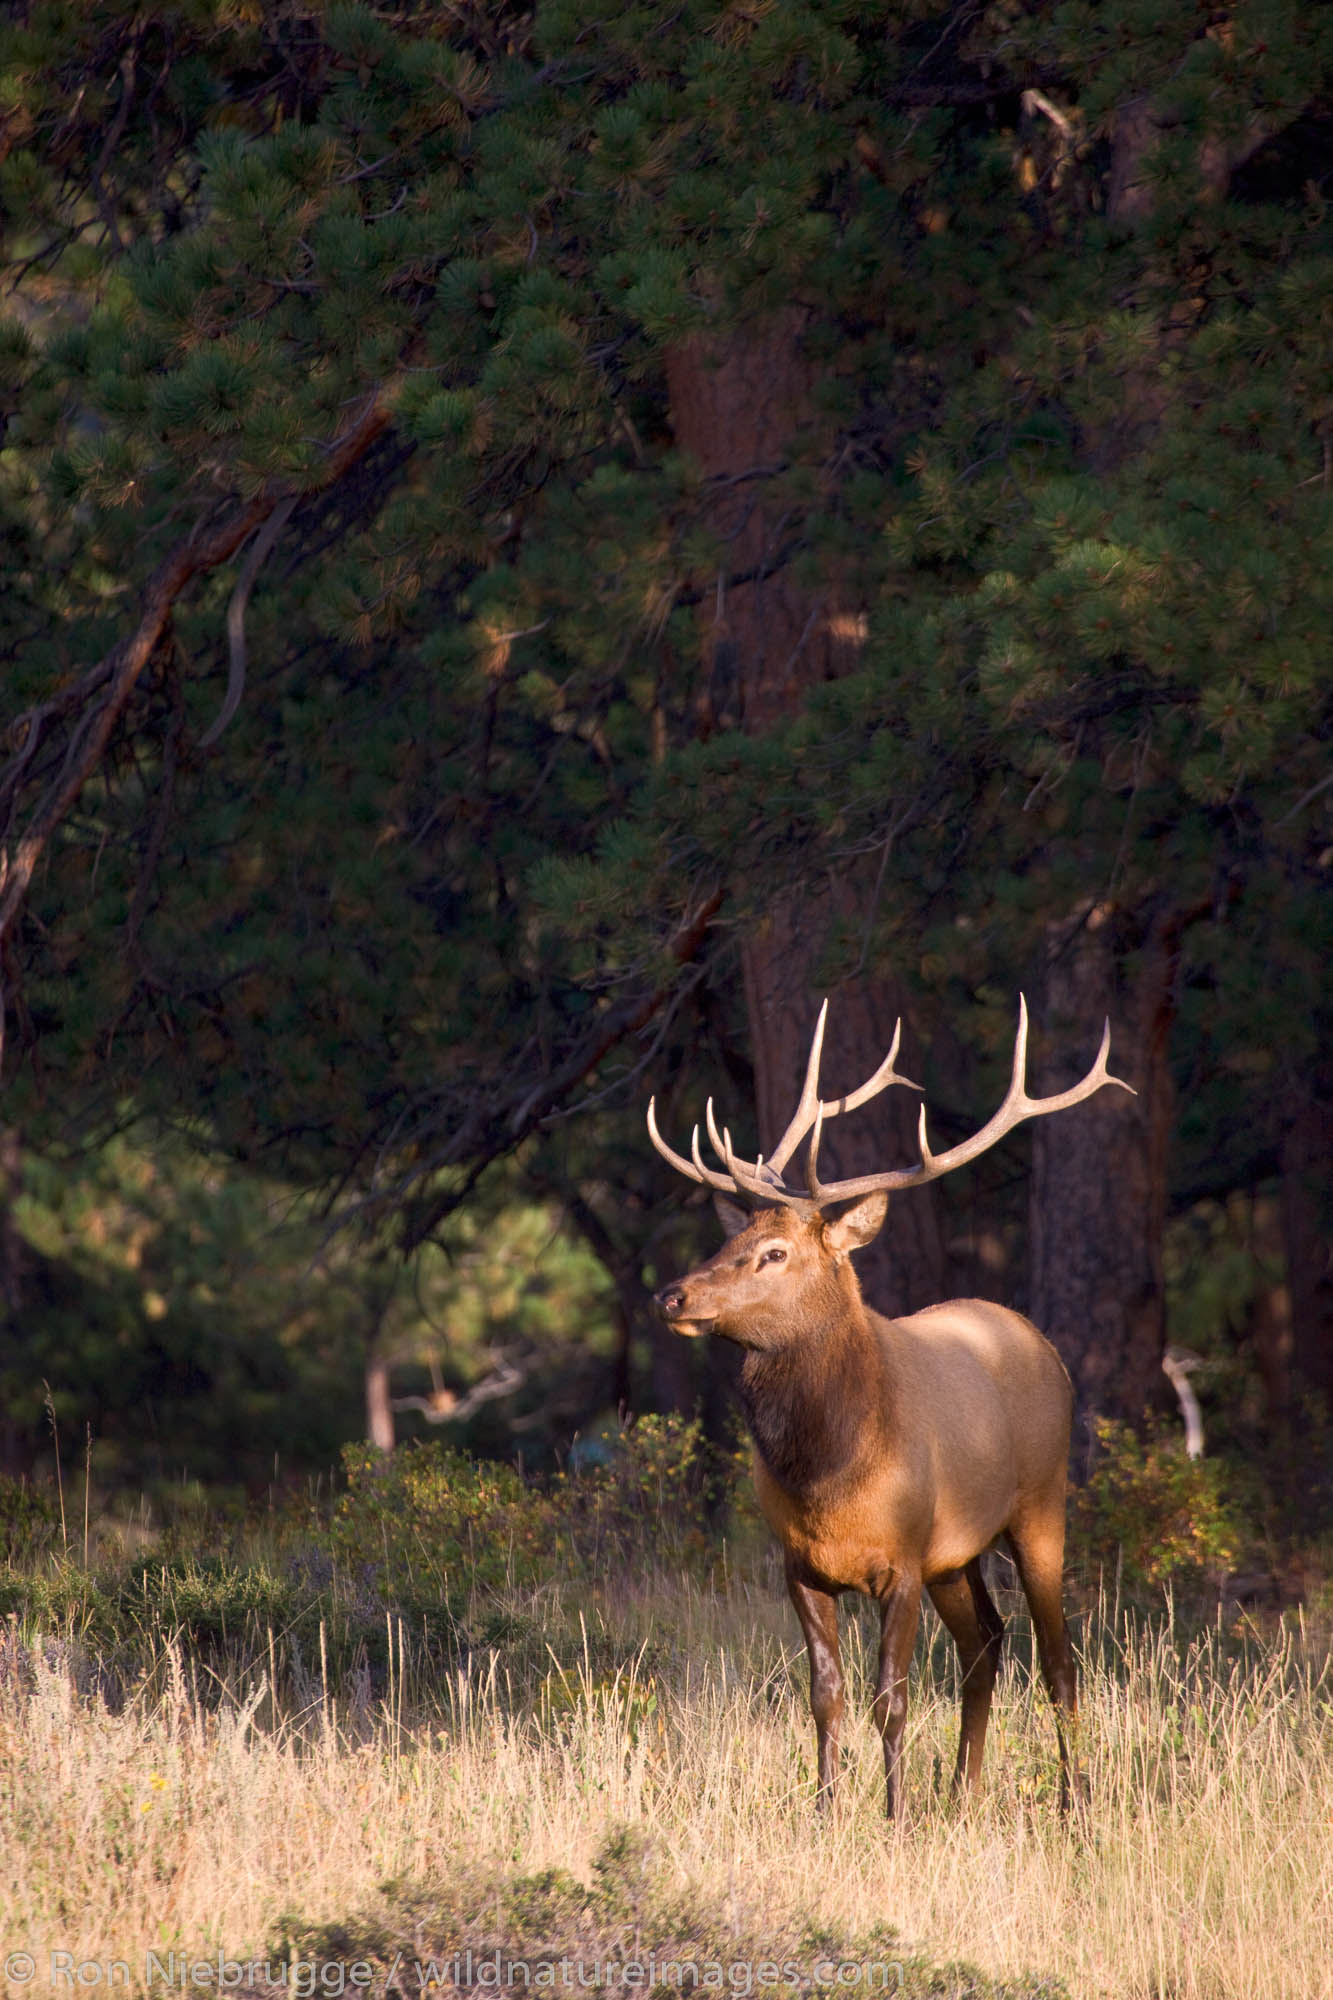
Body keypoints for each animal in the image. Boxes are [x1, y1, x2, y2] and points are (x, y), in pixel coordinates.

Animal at [648, 1000, 1128, 1816]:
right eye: (732, 1236)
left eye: (774, 1253)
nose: (672, 1295)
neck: (829, 1471)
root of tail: (1039, 1340)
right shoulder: (800, 1565)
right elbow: (826, 1694)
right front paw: (826, 1810)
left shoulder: (900, 1559)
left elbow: (890, 1699)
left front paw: (895, 1815)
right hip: (956, 1555)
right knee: (986, 1644)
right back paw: (963, 1797)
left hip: (1040, 1503)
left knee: (1059, 1658)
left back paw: (1074, 1805)